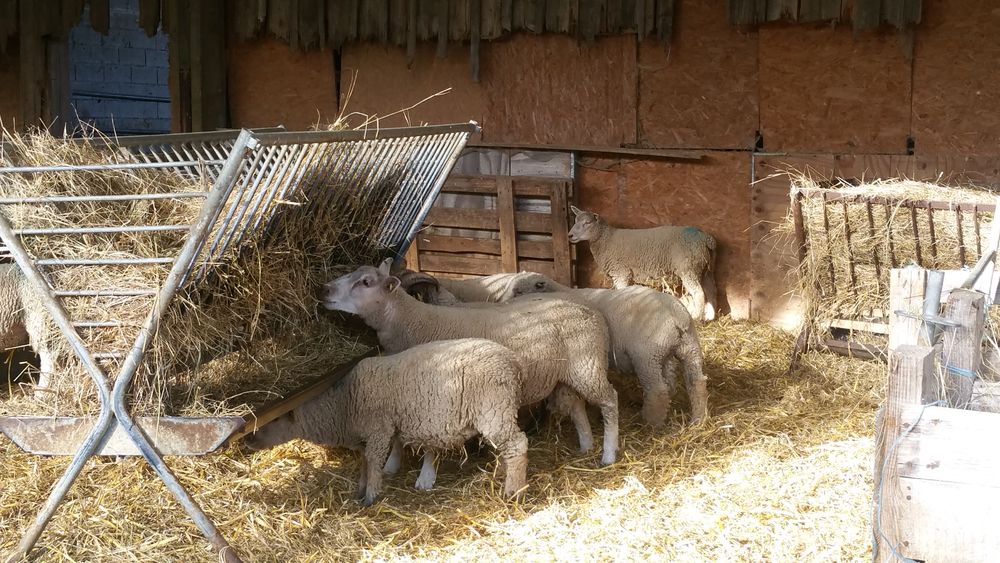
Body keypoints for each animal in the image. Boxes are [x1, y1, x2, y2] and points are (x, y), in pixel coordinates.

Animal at [244, 340, 532, 506]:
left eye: (274, 419)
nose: (247, 439)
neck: (342, 404)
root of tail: (515, 362)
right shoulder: (385, 428)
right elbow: (375, 455)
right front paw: (364, 487)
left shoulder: (378, 429)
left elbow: (372, 460)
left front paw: (370, 495)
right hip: (498, 411)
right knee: (505, 447)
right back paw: (502, 474)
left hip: (494, 407)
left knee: (517, 445)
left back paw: (514, 491)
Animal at [322, 260, 616, 468]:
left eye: (365, 282)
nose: (324, 291)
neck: (415, 321)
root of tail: (592, 310)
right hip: (567, 373)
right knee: (576, 405)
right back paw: (586, 445)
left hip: (588, 365)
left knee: (609, 401)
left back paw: (609, 454)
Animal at [498, 270, 704, 426]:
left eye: (518, 291)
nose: (501, 305)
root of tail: (676, 315)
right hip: (687, 347)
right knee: (695, 381)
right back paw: (698, 419)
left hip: (647, 356)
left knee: (658, 389)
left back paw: (651, 421)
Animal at [568, 206, 716, 322]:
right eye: (575, 221)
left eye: (587, 222)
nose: (570, 235)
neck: (606, 239)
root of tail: (704, 238)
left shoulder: (621, 273)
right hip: (704, 268)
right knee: (711, 291)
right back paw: (709, 317)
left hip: (688, 268)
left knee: (699, 292)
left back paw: (696, 318)